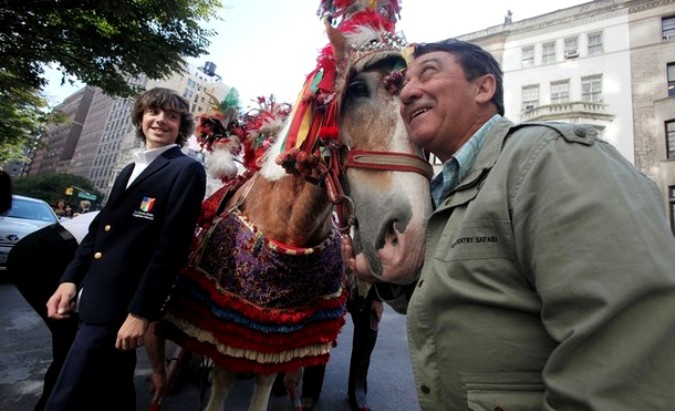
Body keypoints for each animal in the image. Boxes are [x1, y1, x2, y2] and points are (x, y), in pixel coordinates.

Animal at [158, 1, 434, 410]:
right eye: (356, 88)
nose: (410, 238)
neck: (288, 228)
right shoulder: (232, 320)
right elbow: (222, 375)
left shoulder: (281, 332)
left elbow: (265, 379)